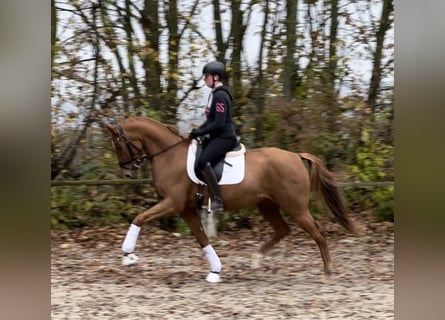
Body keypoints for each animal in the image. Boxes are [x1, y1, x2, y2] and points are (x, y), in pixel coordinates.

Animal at [106, 117, 360, 282]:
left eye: (118, 144)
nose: (127, 173)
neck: (170, 155)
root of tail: (297, 156)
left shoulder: (172, 203)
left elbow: (140, 218)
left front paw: (128, 255)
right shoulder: (185, 209)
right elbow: (202, 239)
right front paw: (215, 271)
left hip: (295, 206)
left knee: (317, 232)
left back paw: (327, 273)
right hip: (267, 204)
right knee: (282, 229)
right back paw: (257, 259)